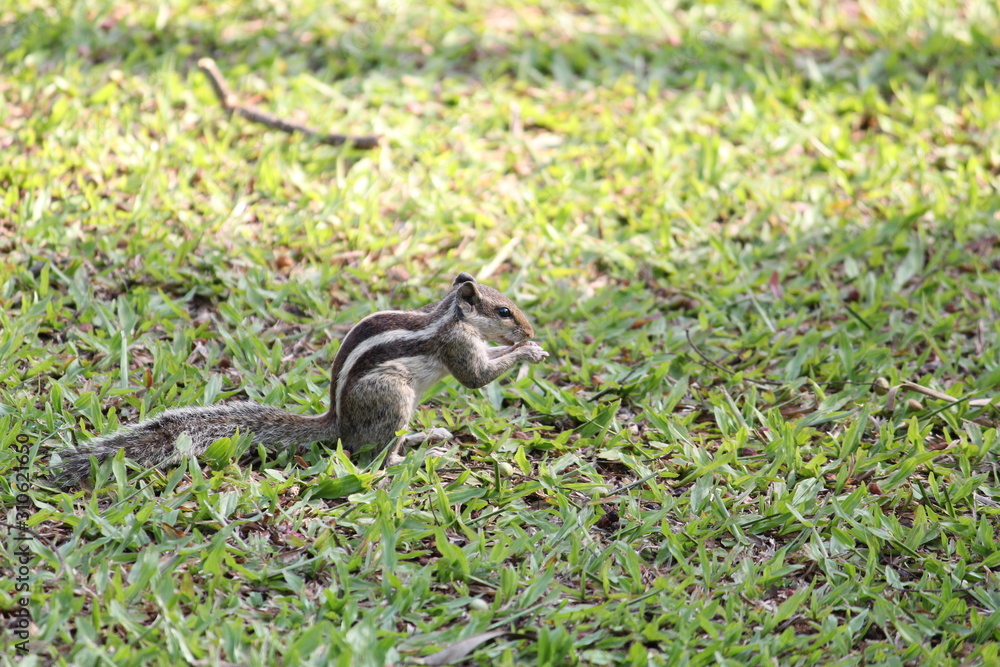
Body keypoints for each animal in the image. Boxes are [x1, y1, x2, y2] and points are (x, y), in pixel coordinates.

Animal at [54, 273, 548, 485]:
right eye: (504, 310)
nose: (528, 330)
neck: (448, 315)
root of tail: (337, 421)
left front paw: (531, 349)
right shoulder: (458, 345)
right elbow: (477, 377)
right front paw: (528, 351)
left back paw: (427, 437)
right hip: (393, 395)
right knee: (376, 453)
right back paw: (415, 455)